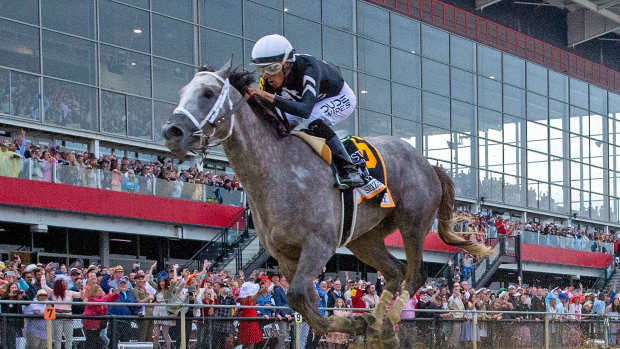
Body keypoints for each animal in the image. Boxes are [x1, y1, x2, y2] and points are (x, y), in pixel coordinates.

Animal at [162, 59, 492, 334]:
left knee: (415, 274)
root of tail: (428, 164)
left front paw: (347, 323)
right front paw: (349, 322)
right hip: (365, 237)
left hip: (413, 222)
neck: (277, 171)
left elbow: (298, 294)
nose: (172, 131)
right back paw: (376, 320)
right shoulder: (285, 256)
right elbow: (301, 299)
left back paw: (390, 316)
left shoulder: (318, 244)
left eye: (207, 93)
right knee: (395, 271)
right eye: (181, 91)